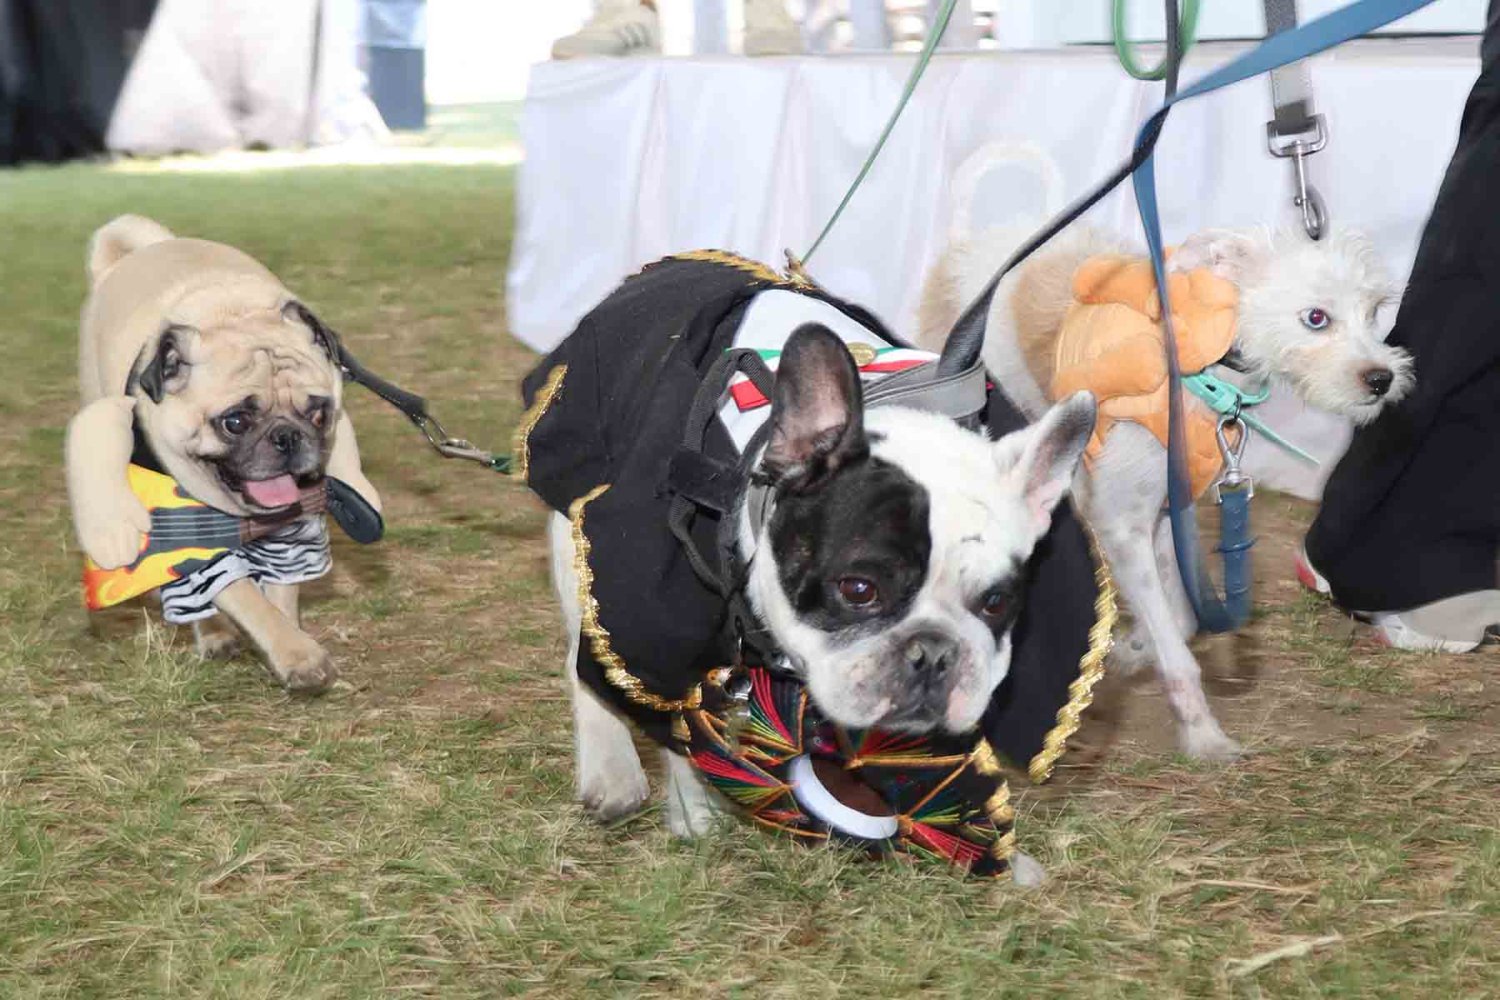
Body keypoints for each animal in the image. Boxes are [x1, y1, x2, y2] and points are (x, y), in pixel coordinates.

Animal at [66, 215, 380, 692]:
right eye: (234, 422)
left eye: (318, 412)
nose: (288, 437)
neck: (230, 314)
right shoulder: (192, 545)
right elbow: (244, 597)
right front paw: (295, 651)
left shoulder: (292, 530)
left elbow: (279, 594)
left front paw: (292, 644)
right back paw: (213, 634)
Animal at [918, 223, 1412, 759]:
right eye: (1316, 318)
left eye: (1374, 310)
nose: (1382, 379)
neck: (1202, 366)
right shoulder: (1122, 526)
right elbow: (1176, 648)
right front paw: (1203, 736)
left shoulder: (1169, 510)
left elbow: (1181, 616)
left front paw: (1136, 648)